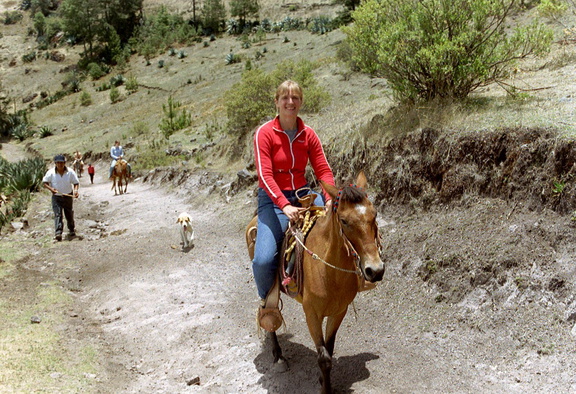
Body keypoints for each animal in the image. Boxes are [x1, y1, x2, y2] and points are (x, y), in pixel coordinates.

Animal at [245, 172, 384, 394]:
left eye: (375, 214)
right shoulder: (312, 314)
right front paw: (325, 388)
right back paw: (278, 357)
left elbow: (329, 349)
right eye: (344, 221)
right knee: (269, 312)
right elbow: (324, 358)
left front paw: (322, 380)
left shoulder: (339, 312)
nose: (376, 270)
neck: (329, 273)